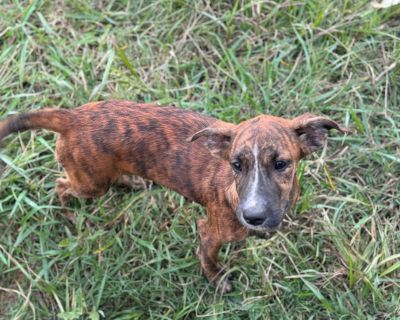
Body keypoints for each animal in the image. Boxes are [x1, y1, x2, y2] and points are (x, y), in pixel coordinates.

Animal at [0, 100, 350, 292]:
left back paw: (131, 182)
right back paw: (70, 215)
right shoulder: (210, 231)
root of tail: (73, 117)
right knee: (61, 186)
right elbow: (208, 258)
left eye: (281, 164)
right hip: (90, 184)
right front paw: (217, 280)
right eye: (236, 165)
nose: (253, 217)